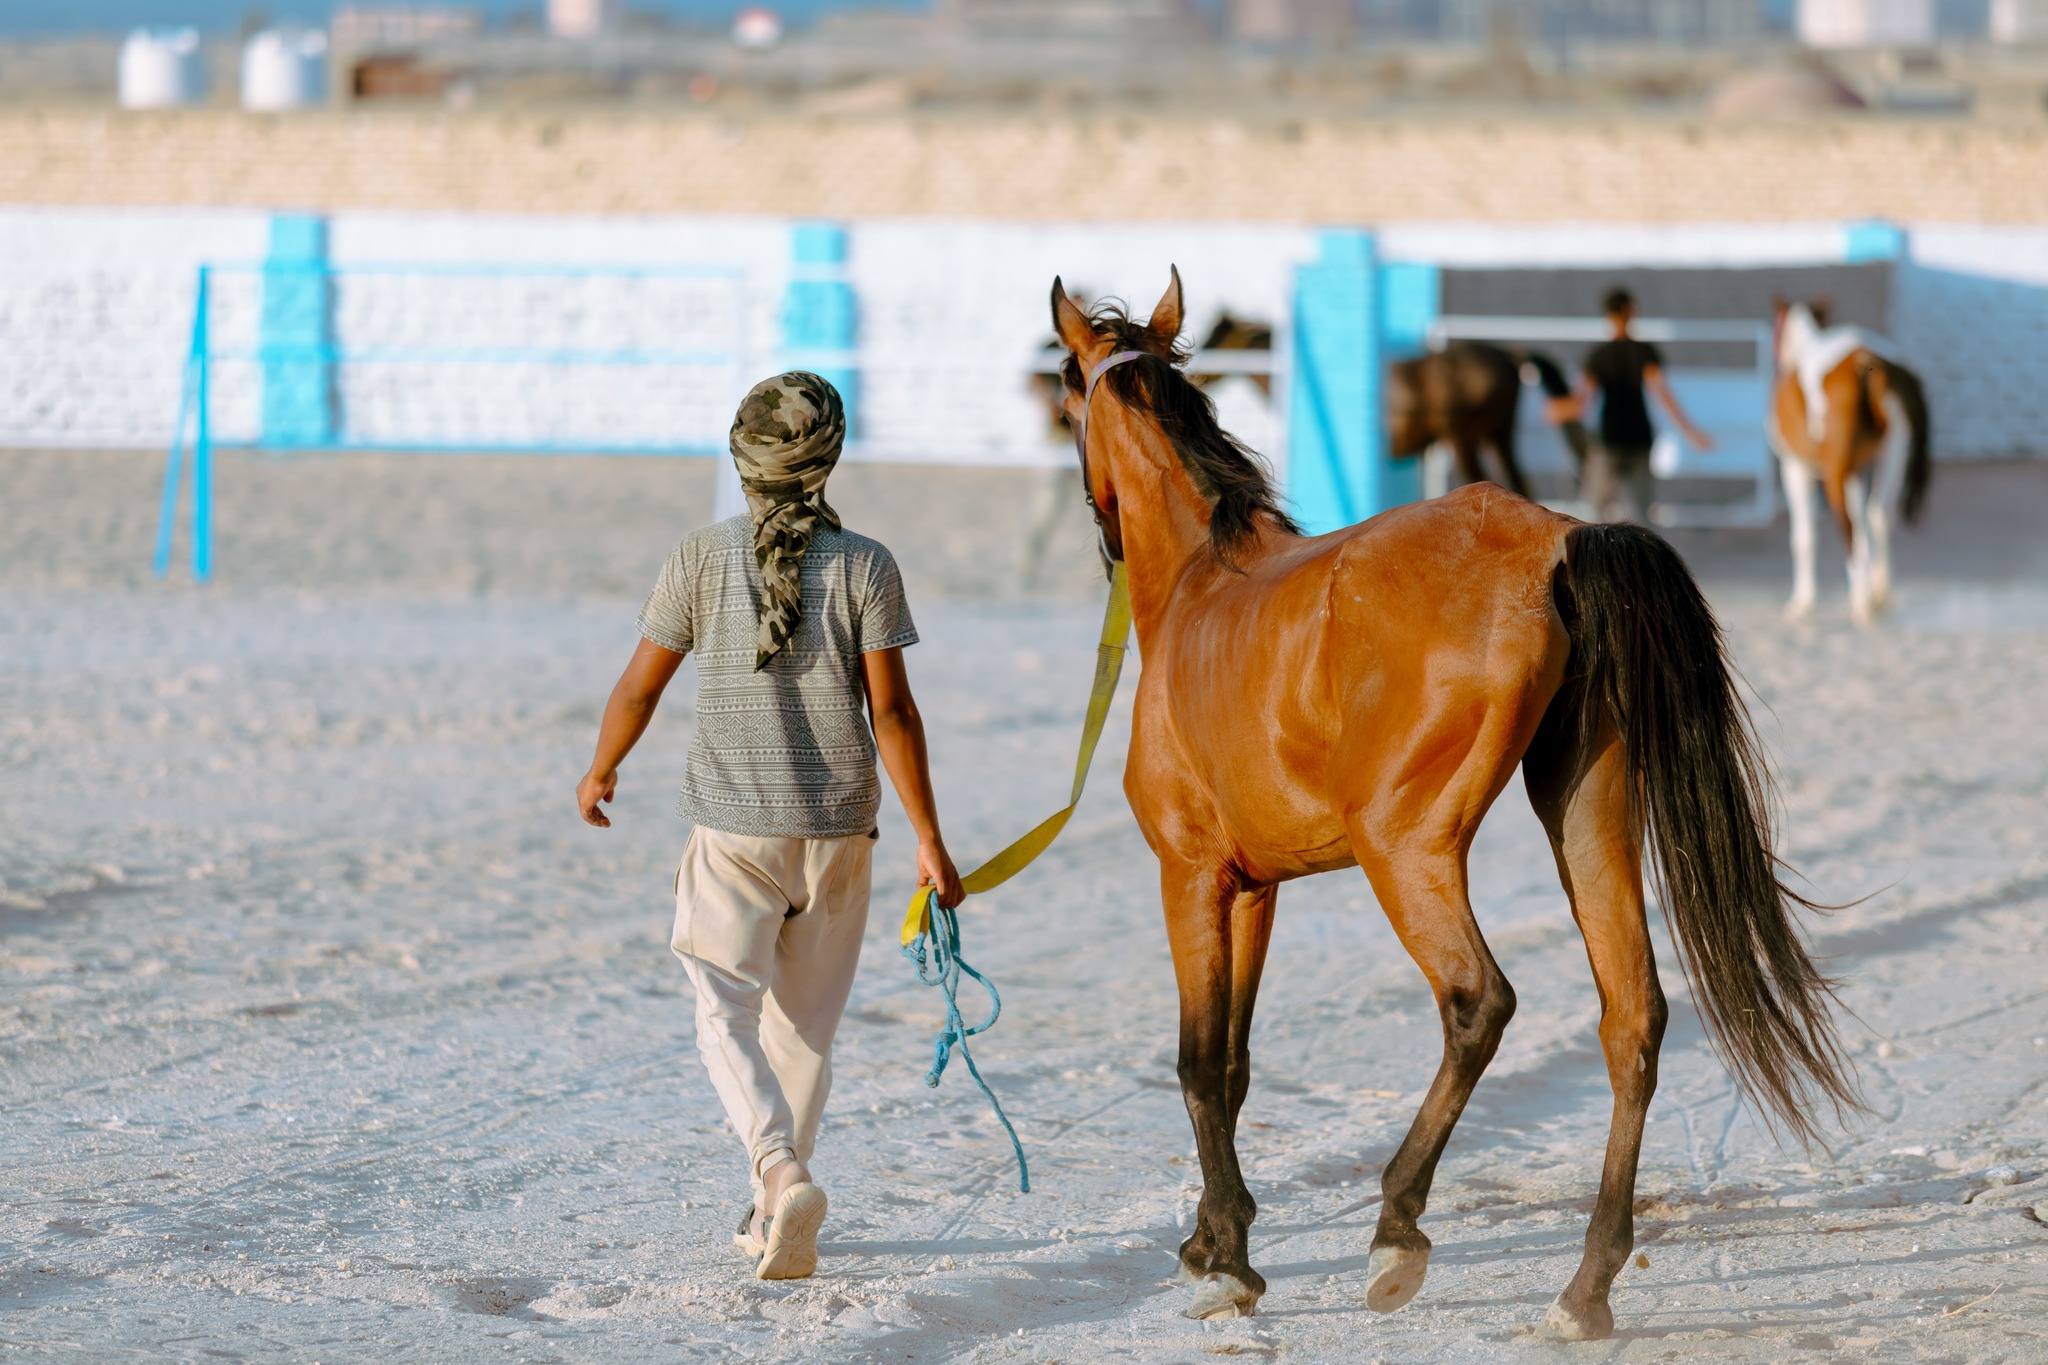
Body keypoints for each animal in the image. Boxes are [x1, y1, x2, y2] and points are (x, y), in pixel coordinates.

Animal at [1048, 270, 1867, 1342]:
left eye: (1067, 396)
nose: (1099, 533)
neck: (1201, 584)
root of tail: (1558, 539)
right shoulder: (1256, 888)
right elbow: (1233, 1064)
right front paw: (1211, 1240)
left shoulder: (1190, 878)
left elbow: (1196, 1061)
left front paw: (1224, 1260)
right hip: (1585, 815)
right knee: (1632, 1016)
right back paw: (1585, 1287)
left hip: (1408, 852)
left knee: (1479, 1002)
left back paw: (1398, 1227)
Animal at [1769, 302, 1925, 626]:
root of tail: (1866, 359)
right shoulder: (1854, 472)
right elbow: (1866, 522)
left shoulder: (1795, 467)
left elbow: (1803, 537)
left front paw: (1802, 601)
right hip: (1890, 454)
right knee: (1878, 515)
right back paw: (1878, 595)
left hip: (1832, 472)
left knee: (1849, 528)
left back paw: (1861, 603)